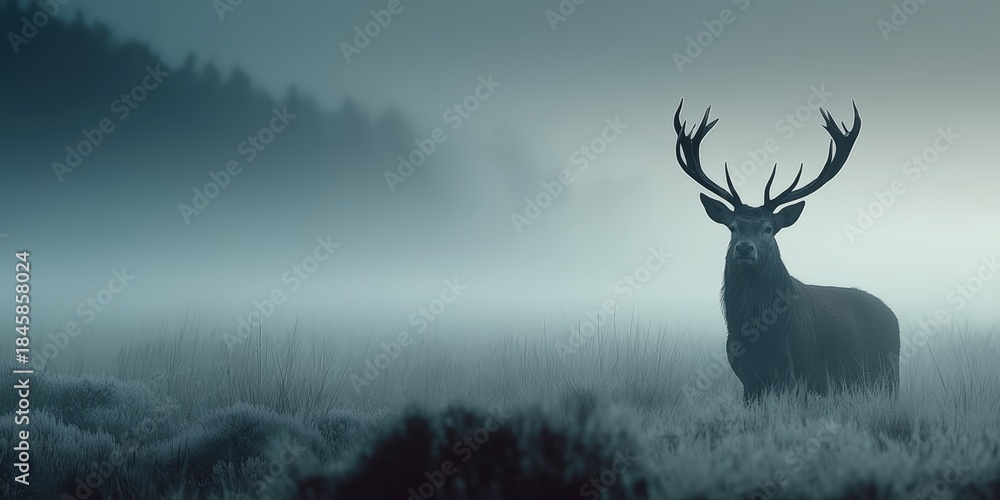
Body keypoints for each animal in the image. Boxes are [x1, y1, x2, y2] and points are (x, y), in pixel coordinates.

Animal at [673, 100, 900, 403]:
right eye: (732, 227)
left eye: (769, 228)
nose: (744, 248)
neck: (759, 334)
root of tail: (893, 316)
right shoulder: (747, 380)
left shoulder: (803, 371)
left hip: (888, 374)